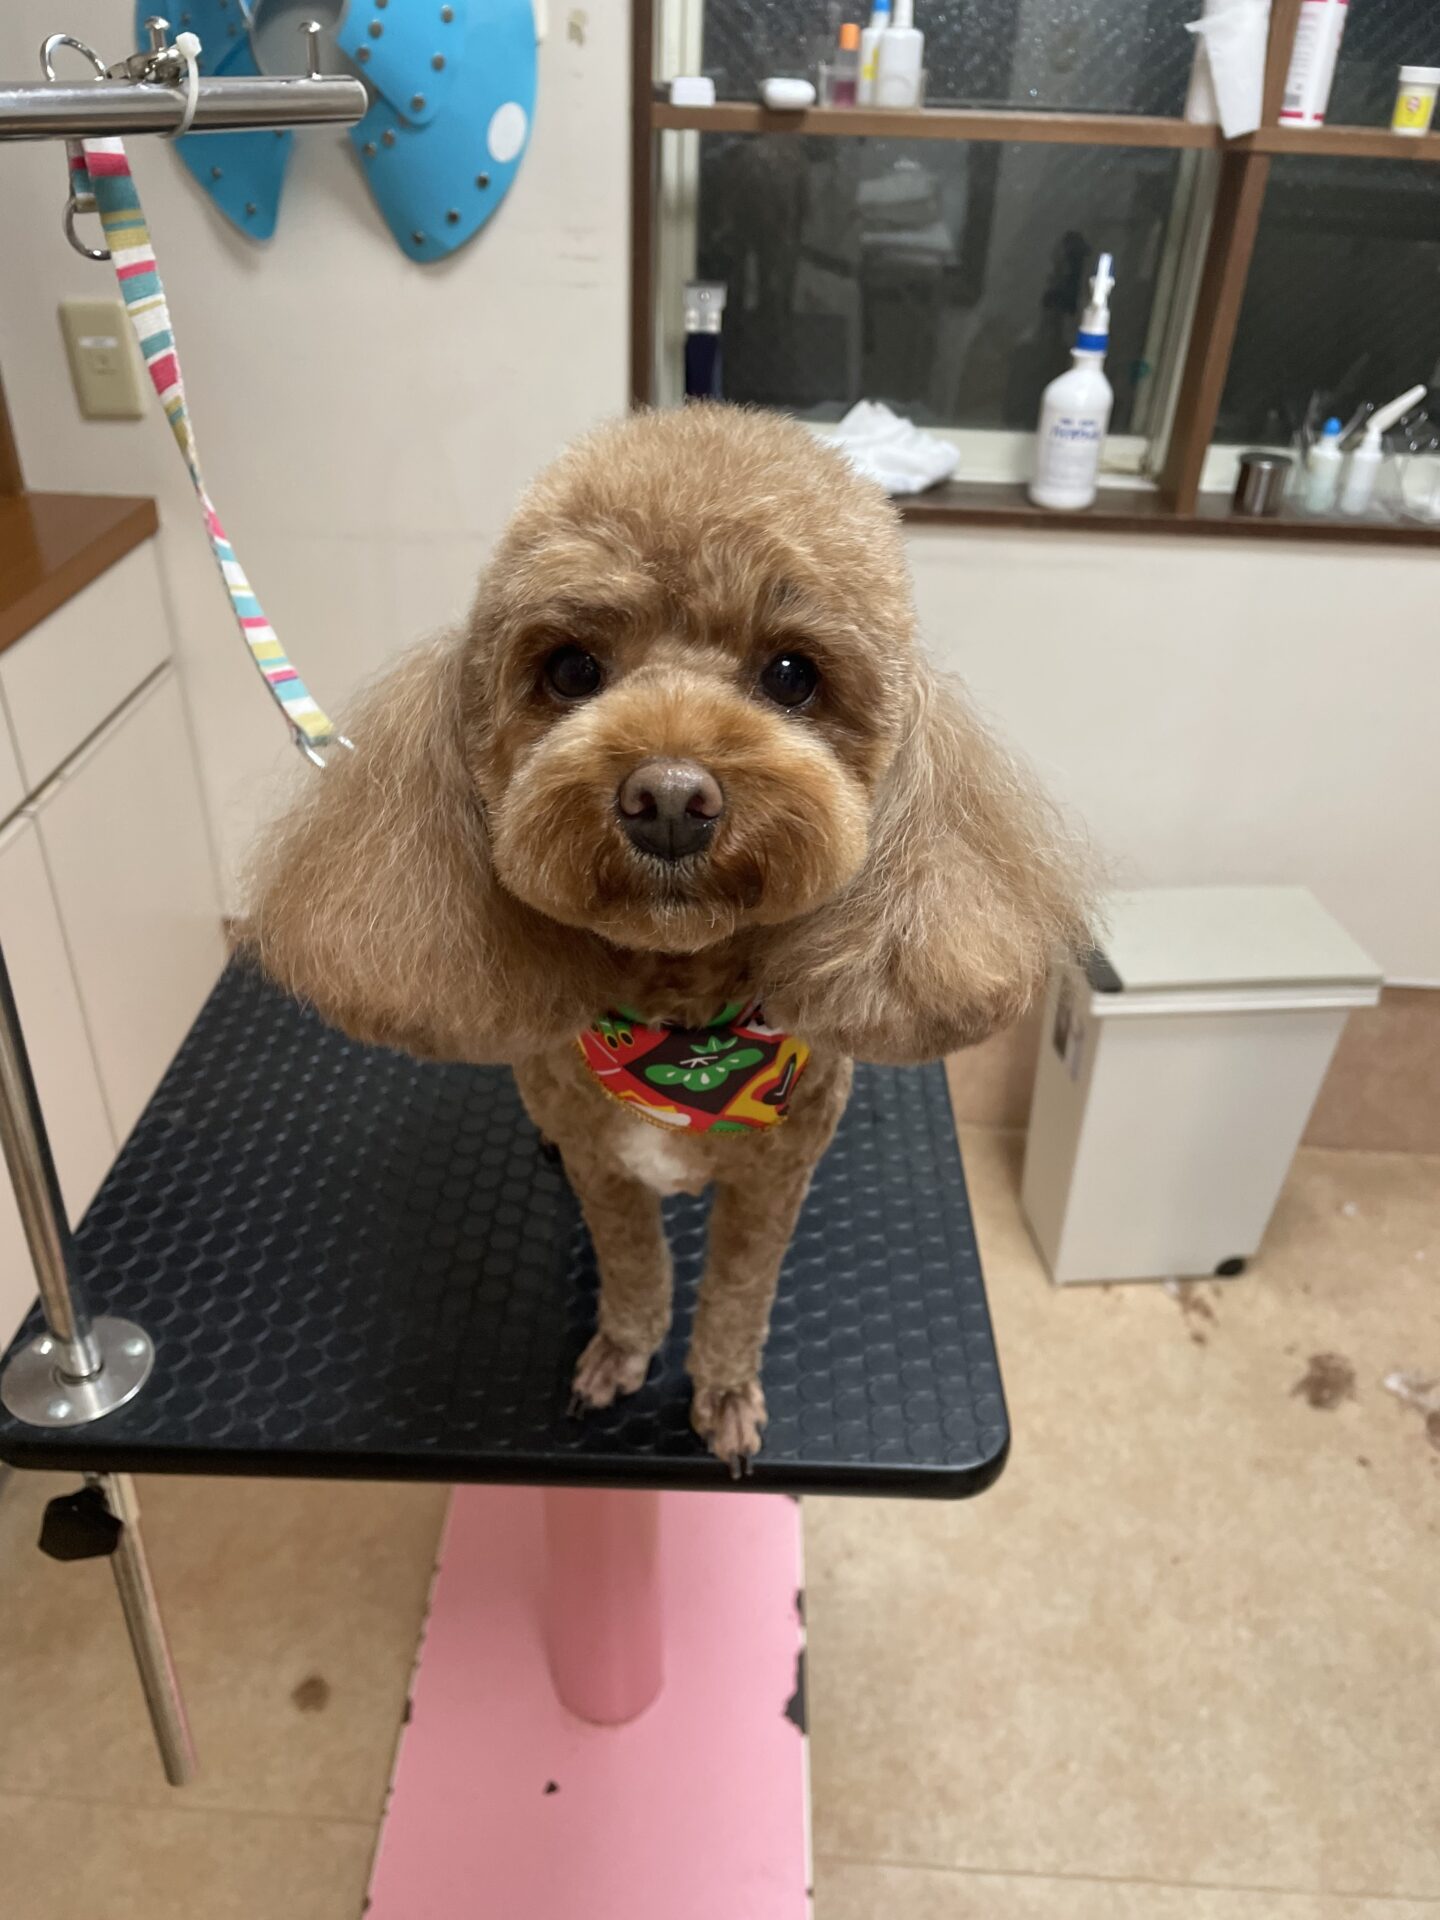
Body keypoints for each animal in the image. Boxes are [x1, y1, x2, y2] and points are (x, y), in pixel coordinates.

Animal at [246, 405, 1090, 1470]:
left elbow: (737, 1296)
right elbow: (634, 1268)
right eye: (570, 669)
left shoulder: (771, 1185)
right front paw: (622, 1353)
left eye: (791, 674)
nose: (672, 798)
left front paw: (722, 1393)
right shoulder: (607, 1172)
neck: (684, 1041)